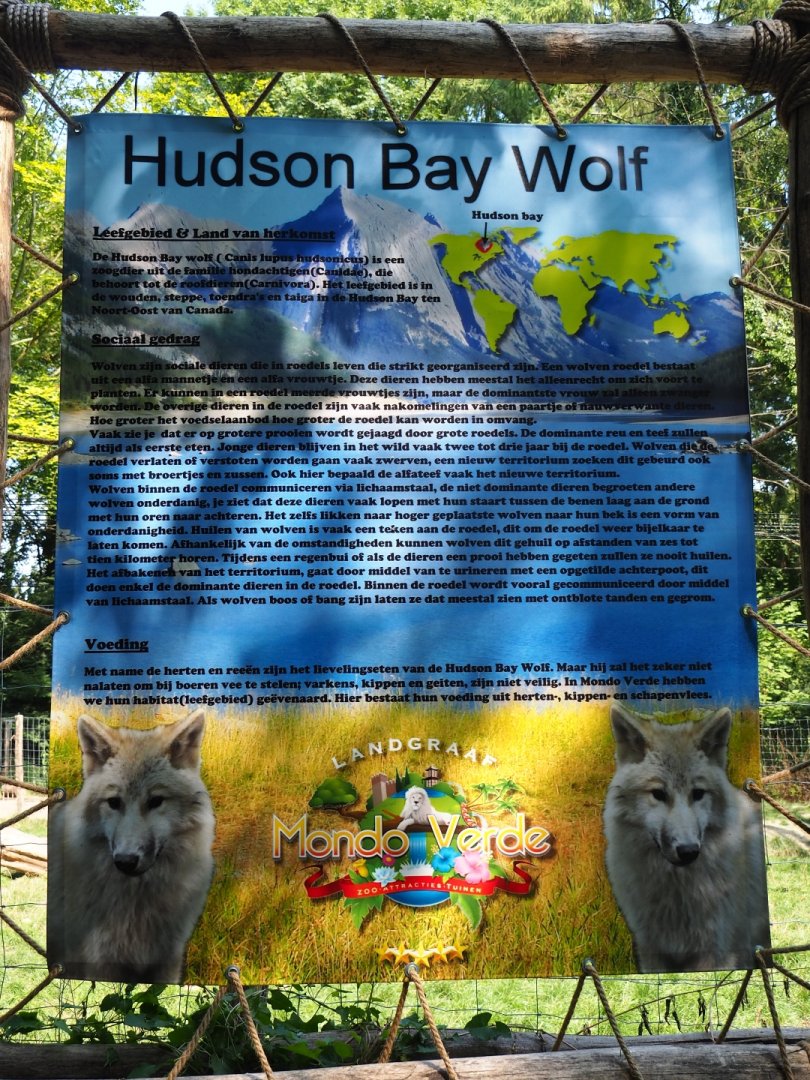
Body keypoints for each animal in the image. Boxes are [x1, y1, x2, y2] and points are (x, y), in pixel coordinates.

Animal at [48, 709, 215, 983]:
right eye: (114, 802)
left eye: (156, 801)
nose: (125, 861)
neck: (137, 905)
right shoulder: (101, 964)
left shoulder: (167, 962)